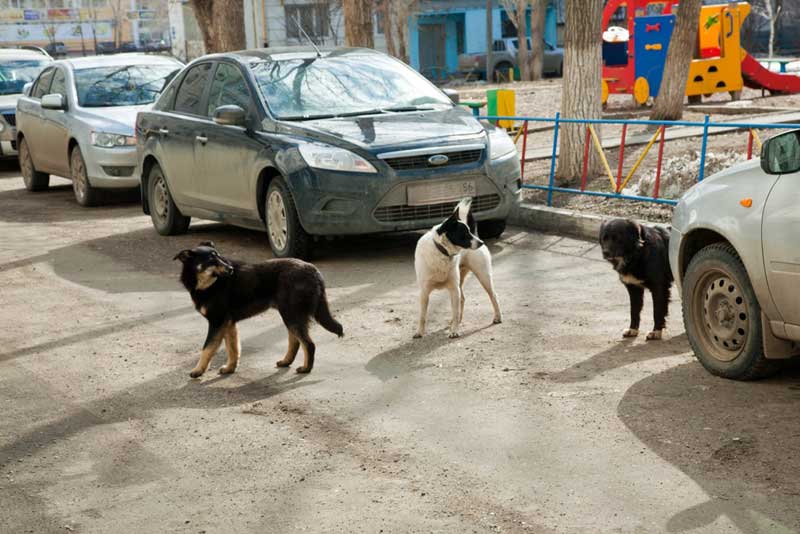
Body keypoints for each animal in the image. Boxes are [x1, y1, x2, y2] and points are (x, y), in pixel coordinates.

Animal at [173, 243, 342, 376]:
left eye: (219, 257)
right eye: (211, 260)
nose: (230, 269)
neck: (208, 284)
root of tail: (314, 271)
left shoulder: (217, 322)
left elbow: (207, 348)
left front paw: (198, 370)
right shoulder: (228, 324)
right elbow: (233, 348)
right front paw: (230, 368)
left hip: (291, 314)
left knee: (308, 344)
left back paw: (306, 368)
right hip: (290, 315)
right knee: (295, 341)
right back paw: (286, 361)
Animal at [412, 197, 500, 340]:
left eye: (469, 231)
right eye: (464, 233)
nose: (481, 243)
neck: (442, 251)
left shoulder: (453, 289)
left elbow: (455, 311)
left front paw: (454, 331)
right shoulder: (424, 292)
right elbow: (422, 316)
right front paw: (419, 332)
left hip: (483, 276)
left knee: (494, 296)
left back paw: (497, 317)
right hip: (462, 282)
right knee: (463, 299)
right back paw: (458, 321)